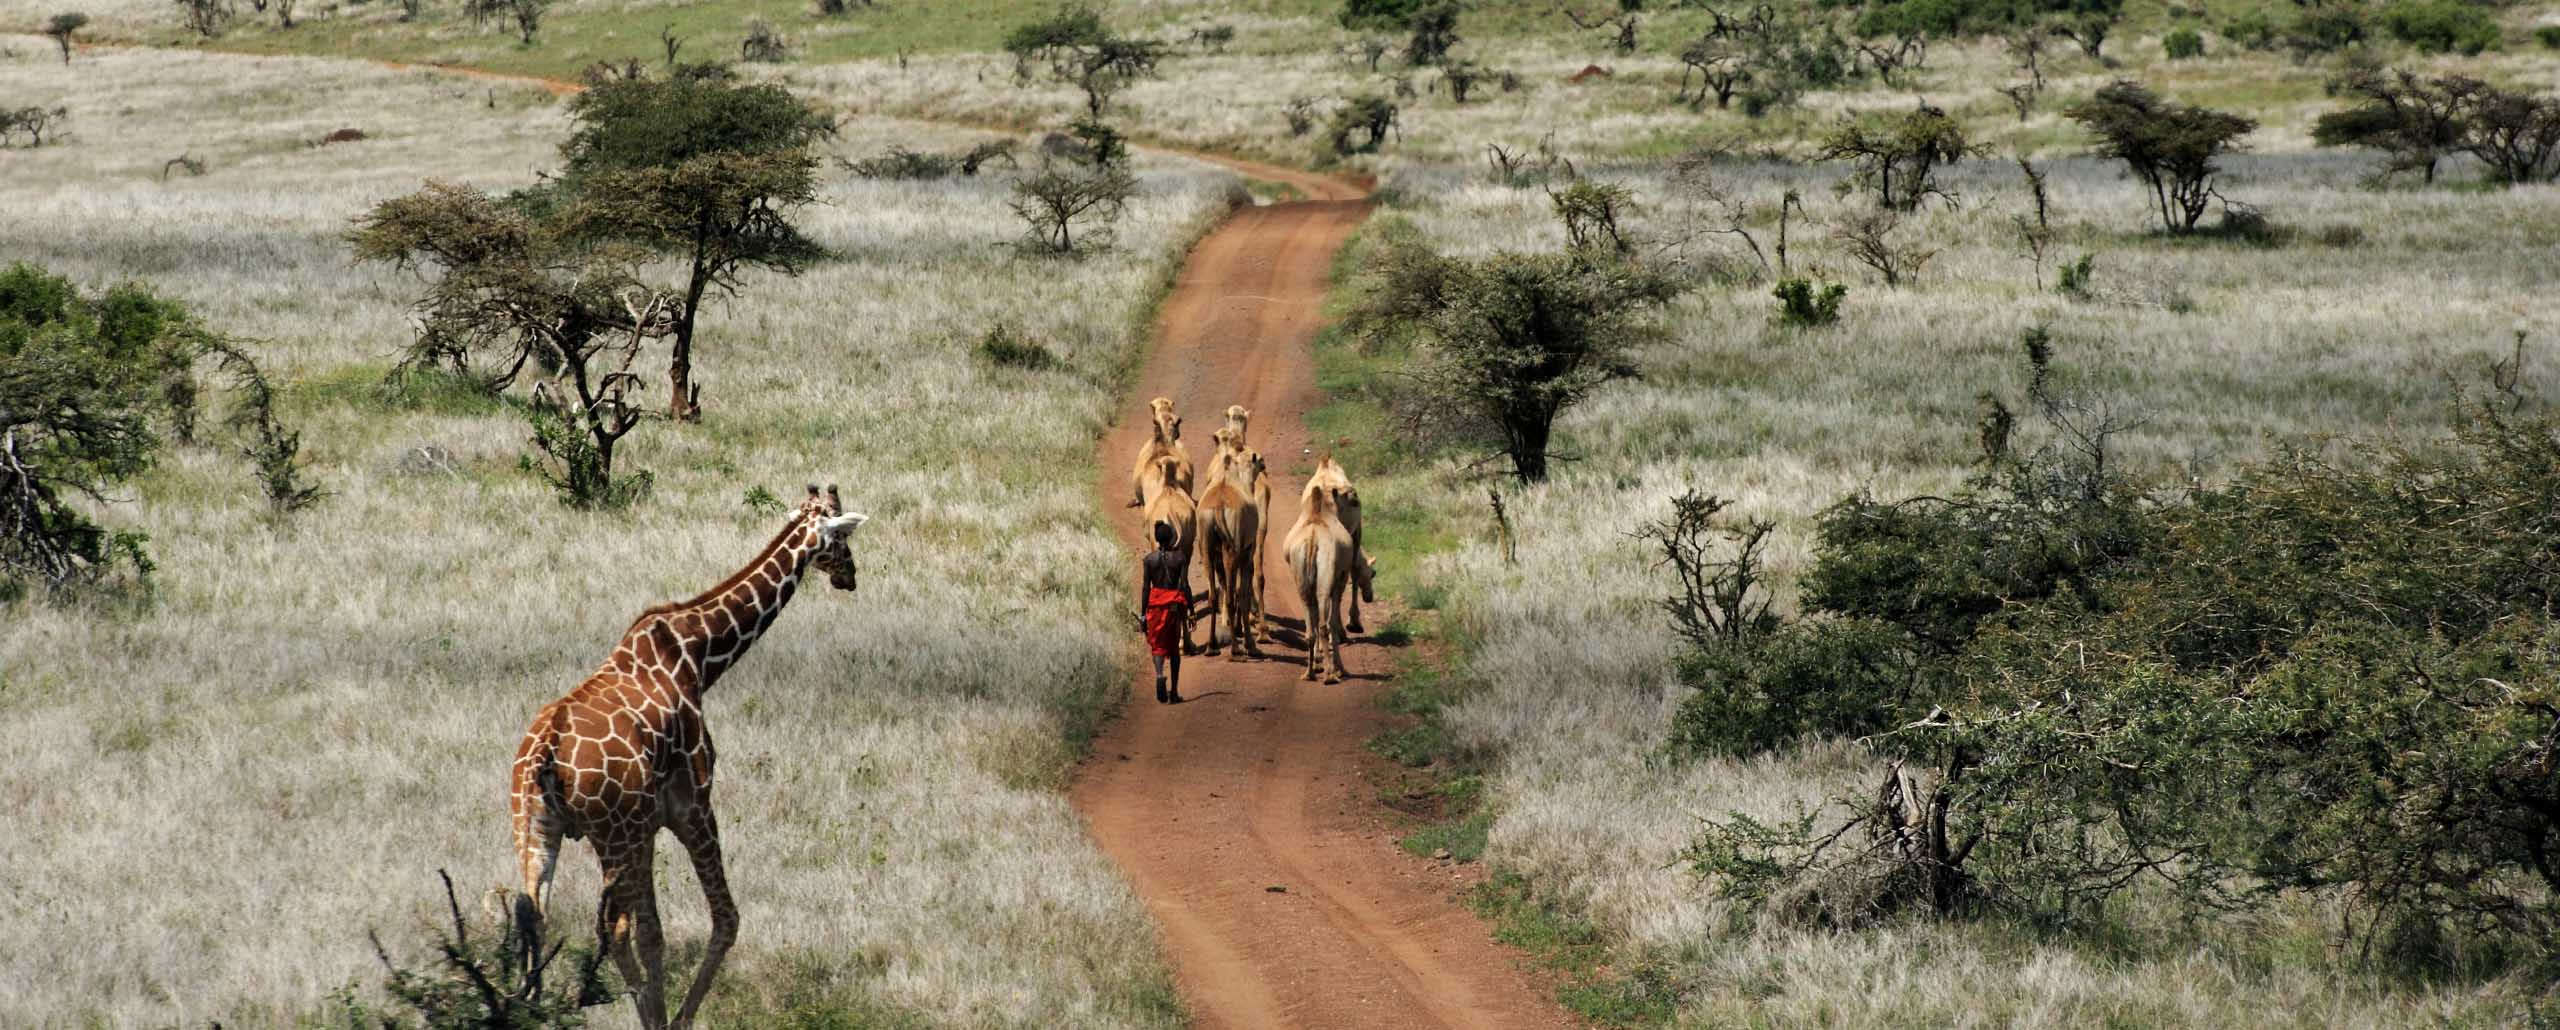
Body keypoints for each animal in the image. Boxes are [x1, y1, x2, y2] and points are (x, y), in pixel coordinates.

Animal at [509, 484, 869, 1030]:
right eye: (843, 537)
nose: (850, 576)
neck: (698, 657)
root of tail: (545, 752)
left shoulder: (650, 823)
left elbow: (654, 934)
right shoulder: (691, 805)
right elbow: (724, 919)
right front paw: (670, 1020)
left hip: (535, 828)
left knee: (534, 913)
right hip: (613, 834)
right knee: (612, 927)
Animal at [1282, 477, 1373, 684]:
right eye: (1353, 501)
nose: (1370, 597)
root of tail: (1312, 539)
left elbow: (1316, 620)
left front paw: (1318, 662)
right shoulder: (1339, 579)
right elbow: (1333, 621)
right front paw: (1339, 667)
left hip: (1302, 582)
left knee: (1311, 628)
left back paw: (1309, 672)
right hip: (1325, 580)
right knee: (1324, 625)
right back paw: (1331, 674)